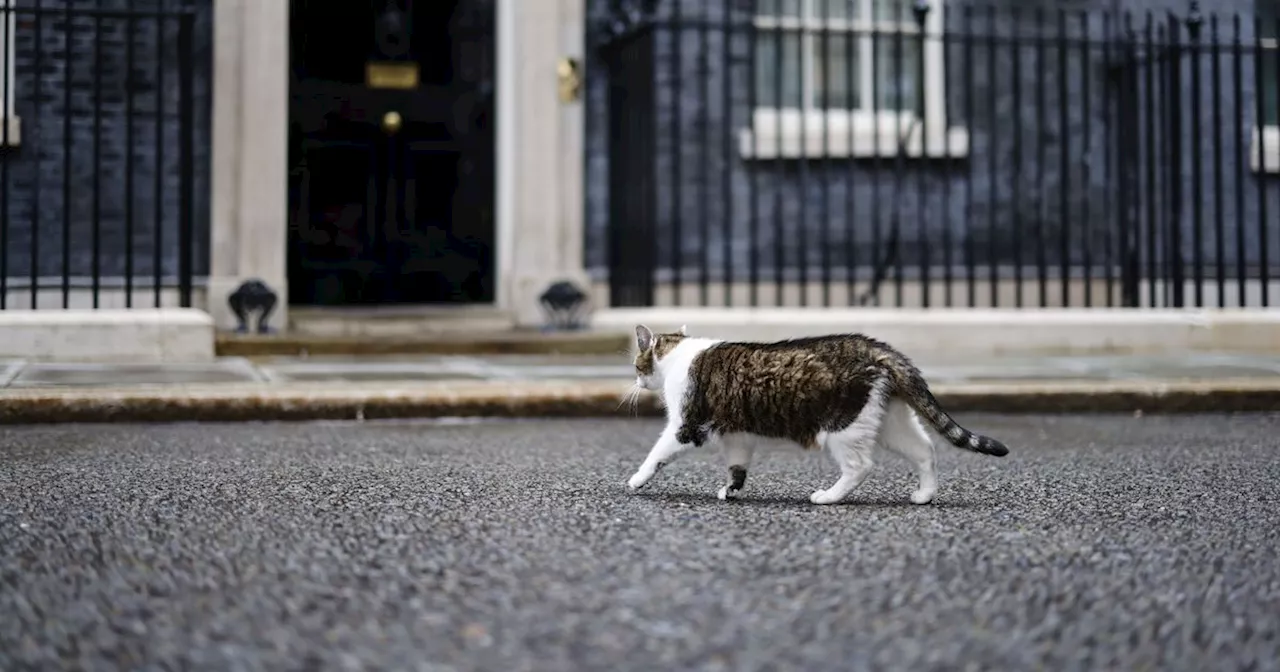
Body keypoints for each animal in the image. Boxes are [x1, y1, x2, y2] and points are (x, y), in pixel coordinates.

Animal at [622, 323, 1008, 501]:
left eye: (637, 365)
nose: (637, 381)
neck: (678, 356)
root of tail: (882, 350)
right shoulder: (738, 435)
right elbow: (737, 466)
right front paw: (731, 490)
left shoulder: (688, 425)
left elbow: (657, 454)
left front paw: (637, 479)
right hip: (890, 423)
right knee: (925, 450)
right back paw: (924, 495)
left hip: (843, 427)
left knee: (860, 467)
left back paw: (829, 497)